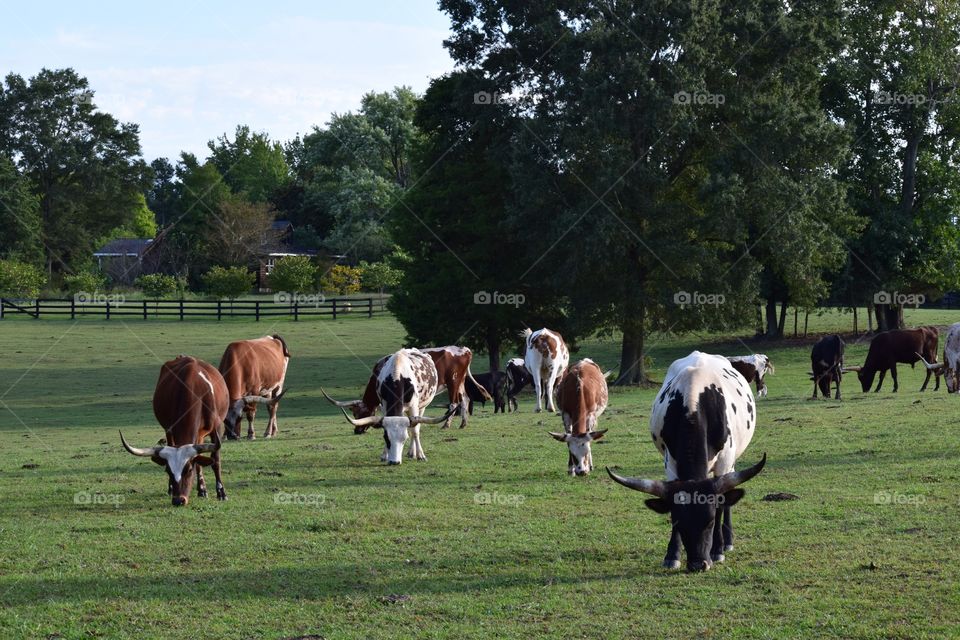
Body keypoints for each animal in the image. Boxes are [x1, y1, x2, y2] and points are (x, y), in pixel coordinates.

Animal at [120, 356, 229, 504]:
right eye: (168, 470)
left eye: (188, 470)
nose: (178, 500)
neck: (194, 389)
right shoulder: (170, 428)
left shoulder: (217, 428)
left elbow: (215, 461)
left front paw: (221, 492)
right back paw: (200, 490)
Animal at [608, 352, 764, 572]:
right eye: (679, 522)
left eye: (709, 522)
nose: (698, 564)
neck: (694, 401)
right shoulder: (671, 464)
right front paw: (672, 555)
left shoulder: (724, 462)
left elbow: (720, 505)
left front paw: (718, 550)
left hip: (731, 461)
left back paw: (727, 542)